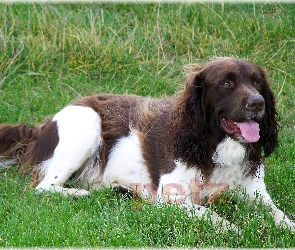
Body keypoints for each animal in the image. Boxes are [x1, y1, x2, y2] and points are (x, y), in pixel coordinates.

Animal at [0, 57, 294, 231]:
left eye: (257, 82)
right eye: (226, 83)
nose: (258, 103)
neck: (212, 146)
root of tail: (41, 126)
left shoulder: (256, 193)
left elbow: (281, 216)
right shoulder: (171, 198)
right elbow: (211, 214)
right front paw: (233, 229)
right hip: (87, 124)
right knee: (44, 187)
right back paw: (80, 193)